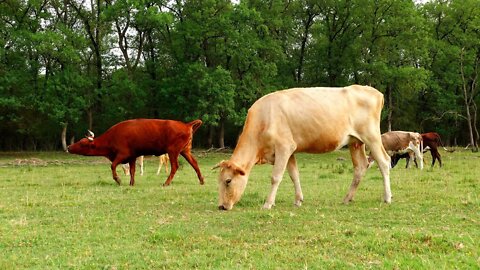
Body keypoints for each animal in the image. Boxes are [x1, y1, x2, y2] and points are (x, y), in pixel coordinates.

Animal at [66, 119, 204, 187]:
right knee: (195, 163)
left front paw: (118, 180)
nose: (68, 147)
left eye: (82, 143)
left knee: (175, 166)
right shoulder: (132, 157)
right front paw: (131, 183)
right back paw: (202, 181)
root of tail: (186, 125)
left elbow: (113, 166)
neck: (113, 136)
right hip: (185, 151)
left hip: (173, 152)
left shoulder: (122, 155)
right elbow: (132, 170)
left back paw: (166, 183)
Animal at [216, 84, 392, 211]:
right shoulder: (290, 151)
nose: (222, 206)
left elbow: (276, 177)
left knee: (384, 162)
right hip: (355, 141)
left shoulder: (284, 147)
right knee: (361, 166)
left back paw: (387, 197)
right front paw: (298, 200)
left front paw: (268, 203)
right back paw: (347, 198)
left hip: (371, 136)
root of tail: (374, 91)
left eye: (228, 181)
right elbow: (294, 175)